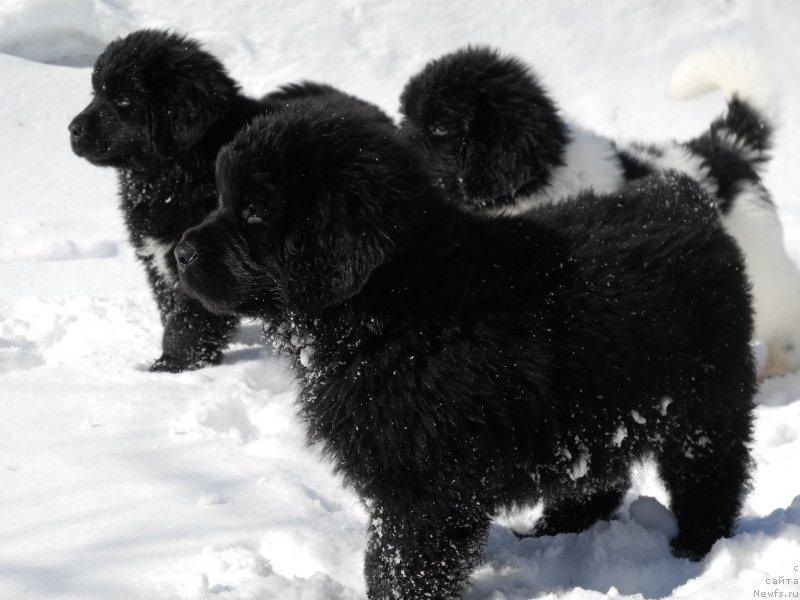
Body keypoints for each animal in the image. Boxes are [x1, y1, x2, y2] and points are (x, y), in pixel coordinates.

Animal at [69, 30, 390, 372]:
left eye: (123, 100)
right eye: (95, 93)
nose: (72, 129)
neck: (172, 175)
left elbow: (187, 321)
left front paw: (170, 365)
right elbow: (171, 309)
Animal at [173, 98, 756, 596]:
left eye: (255, 213)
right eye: (221, 199)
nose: (179, 251)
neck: (395, 311)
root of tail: (684, 198)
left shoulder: (424, 487)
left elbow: (401, 562)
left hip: (704, 402)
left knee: (711, 477)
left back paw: (694, 550)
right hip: (594, 404)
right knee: (596, 477)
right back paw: (554, 531)